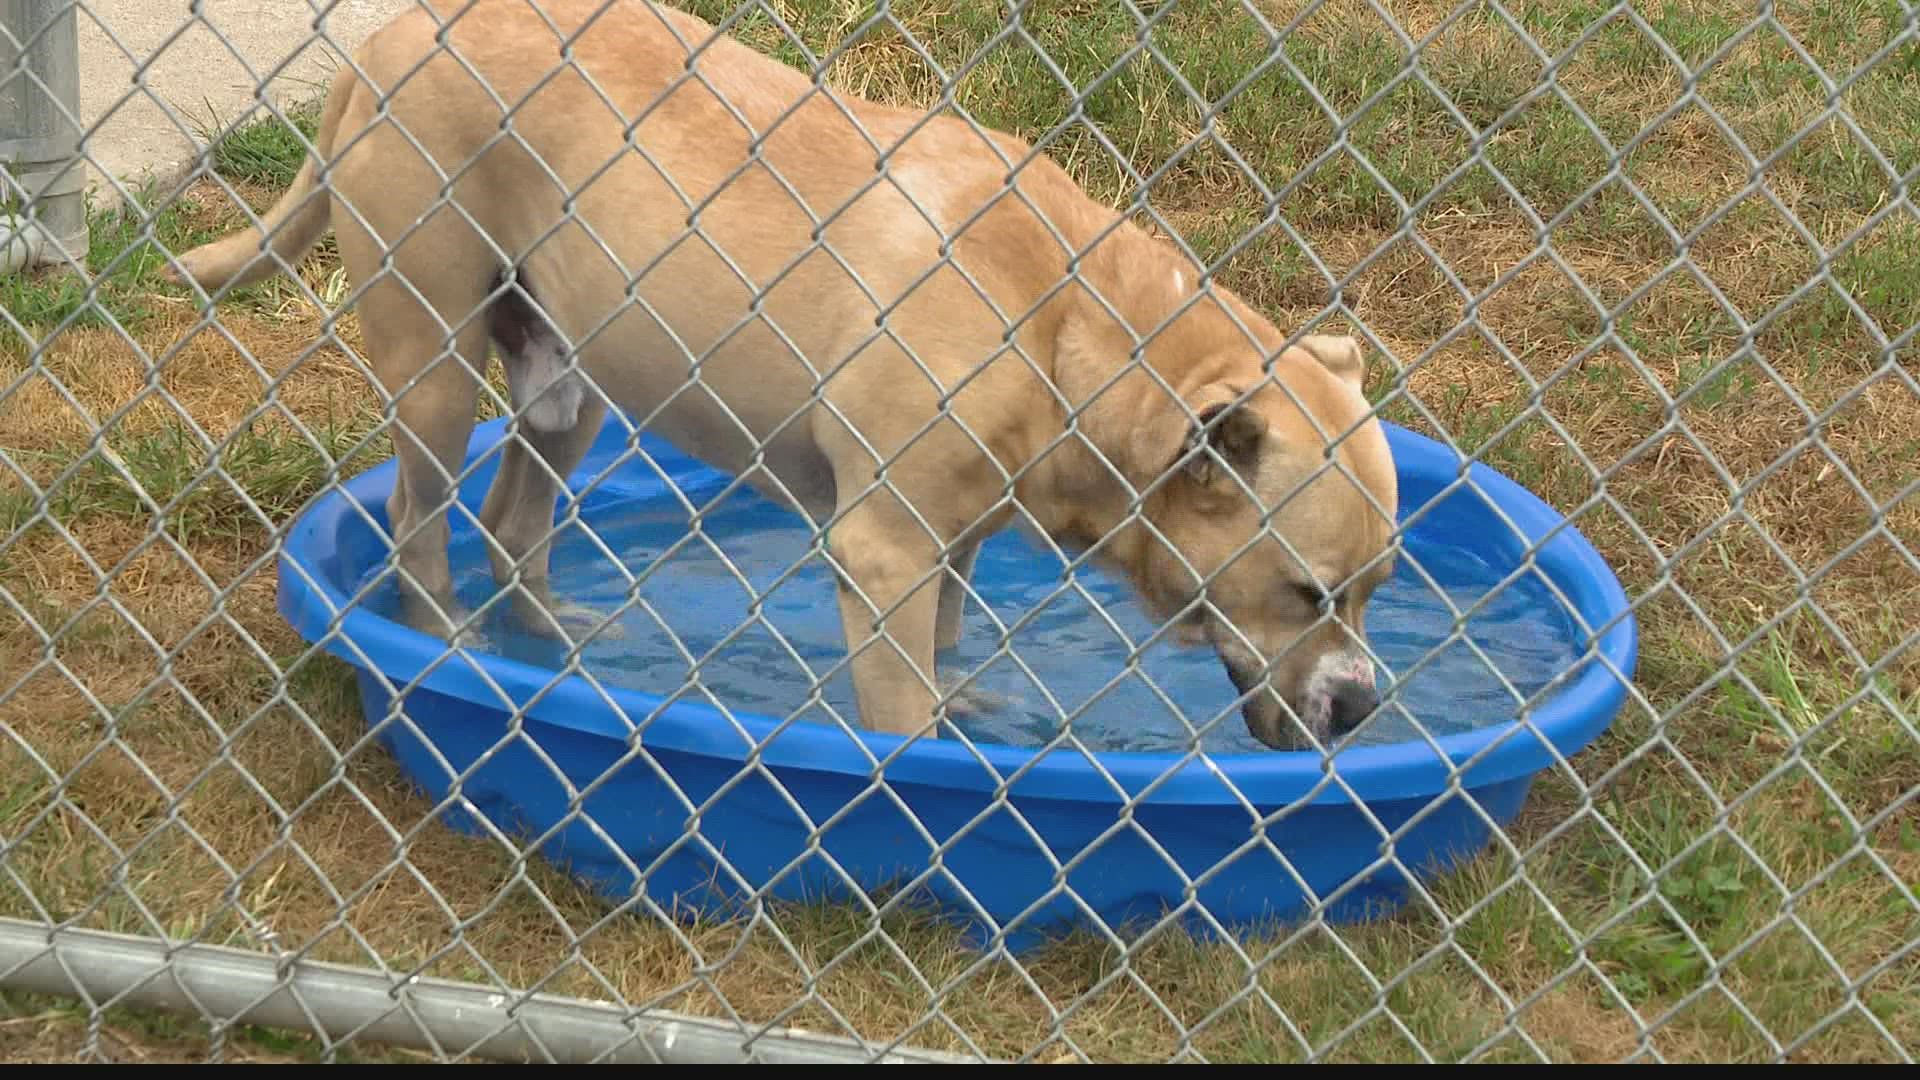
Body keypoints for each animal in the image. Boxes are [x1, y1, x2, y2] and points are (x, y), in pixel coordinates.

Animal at [168, 0, 1397, 749]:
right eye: (1307, 592)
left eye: (1378, 591)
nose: (1362, 703)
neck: (1075, 328)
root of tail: (388, 41)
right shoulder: (886, 552)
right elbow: (902, 717)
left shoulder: (952, 545)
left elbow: (948, 649)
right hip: (432, 364)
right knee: (421, 529)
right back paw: (454, 648)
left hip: (569, 377)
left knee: (515, 519)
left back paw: (564, 650)